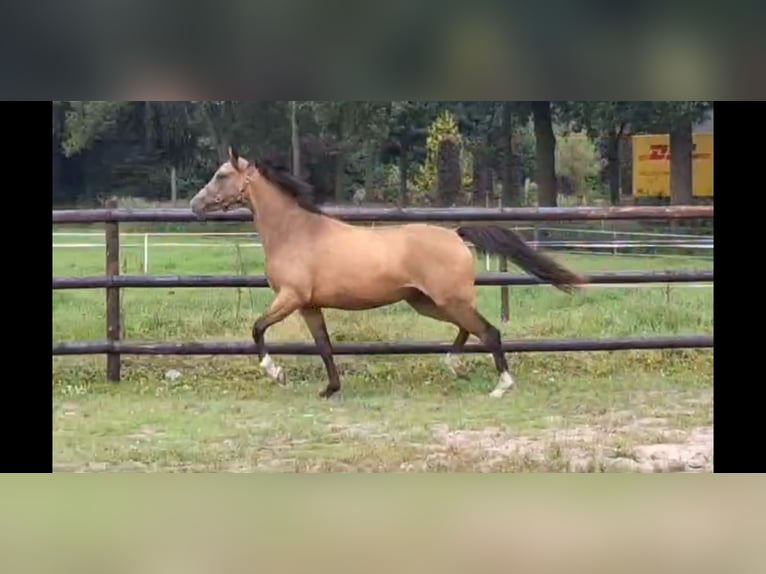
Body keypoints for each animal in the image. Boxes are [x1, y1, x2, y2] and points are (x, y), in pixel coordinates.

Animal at [189, 148, 584, 400]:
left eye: (222, 175)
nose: (195, 205)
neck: (295, 231)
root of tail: (455, 234)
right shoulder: (309, 305)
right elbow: (324, 346)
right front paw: (330, 389)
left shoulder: (290, 298)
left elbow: (257, 329)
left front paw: (276, 373)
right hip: (427, 302)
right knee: (468, 329)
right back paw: (454, 364)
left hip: (447, 300)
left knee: (489, 331)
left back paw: (501, 385)